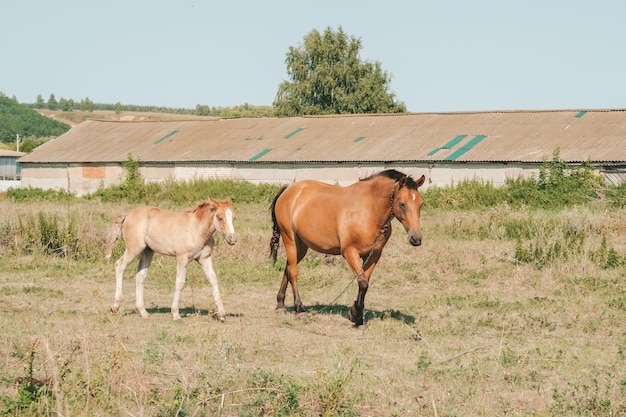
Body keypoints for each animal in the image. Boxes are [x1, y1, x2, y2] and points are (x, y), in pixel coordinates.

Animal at [105, 197, 236, 320]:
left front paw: (222, 314)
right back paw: (115, 306)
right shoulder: (182, 258)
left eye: (233, 218)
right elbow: (180, 282)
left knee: (140, 275)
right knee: (119, 265)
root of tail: (128, 214)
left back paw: (142, 312)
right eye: (220, 218)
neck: (196, 229)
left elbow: (213, 280)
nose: (233, 239)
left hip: (148, 251)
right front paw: (175, 313)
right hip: (134, 248)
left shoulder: (205, 259)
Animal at [268, 169, 424, 324]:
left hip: (301, 246)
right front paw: (356, 314)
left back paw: (280, 305)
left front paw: (356, 314)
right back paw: (300, 309)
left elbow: (365, 281)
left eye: (421, 204)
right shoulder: (350, 252)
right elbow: (362, 282)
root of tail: (289, 189)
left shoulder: (374, 254)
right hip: (290, 239)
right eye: (402, 204)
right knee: (293, 272)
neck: (368, 210)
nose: (416, 238)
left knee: (288, 268)